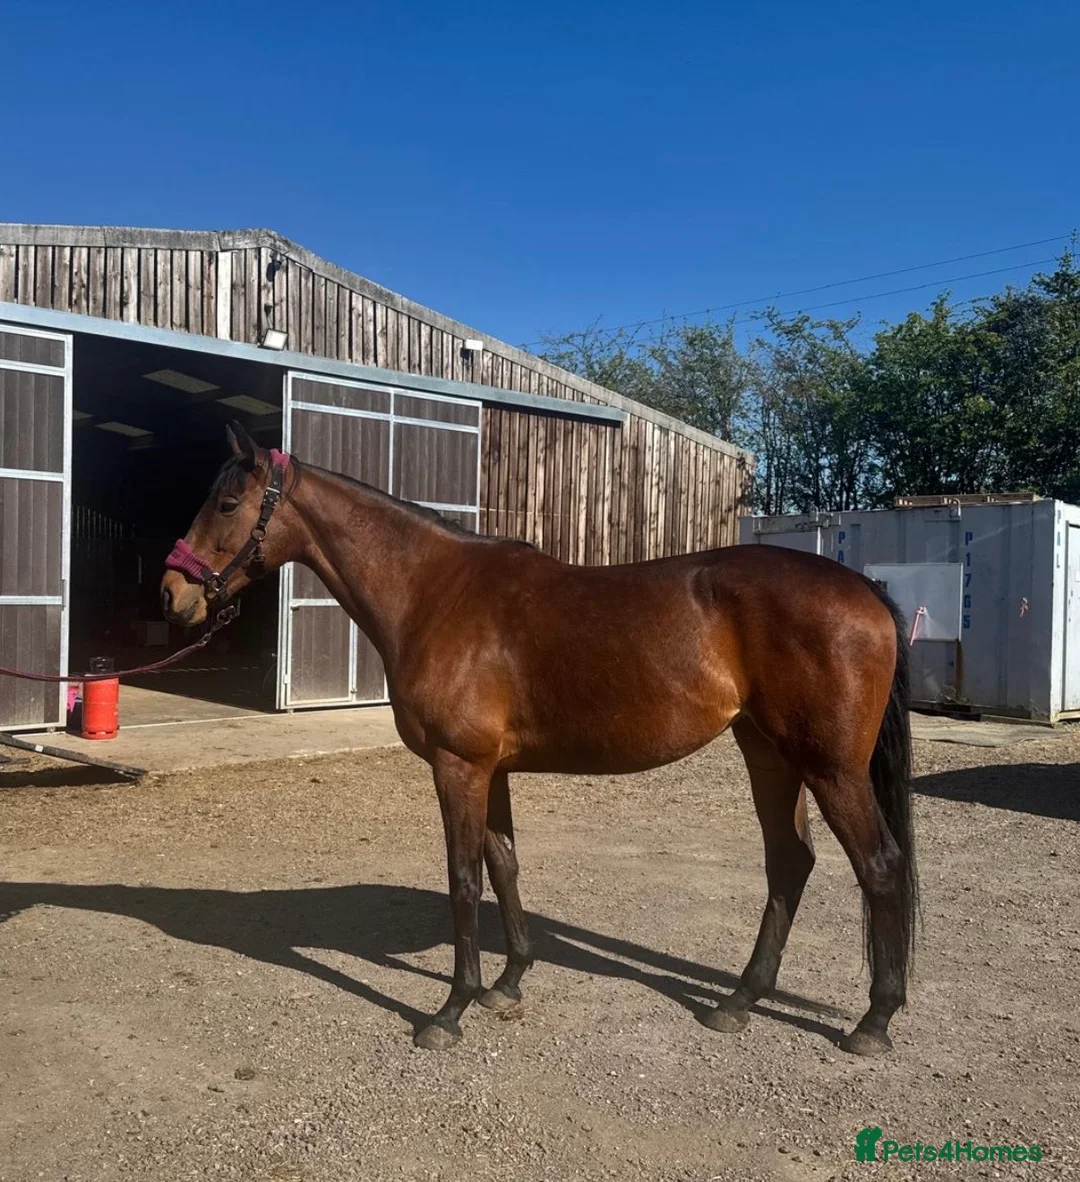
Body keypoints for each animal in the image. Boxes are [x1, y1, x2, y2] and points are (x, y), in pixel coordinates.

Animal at [161, 423, 918, 1056]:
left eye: (227, 502)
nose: (173, 594)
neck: (434, 593)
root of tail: (865, 590)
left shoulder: (458, 766)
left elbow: (464, 879)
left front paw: (450, 1010)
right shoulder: (491, 769)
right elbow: (504, 865)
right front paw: (507, 983)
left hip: (829, 767)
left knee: (880, 866)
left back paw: (873, 1021)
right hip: (769, 754)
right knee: (790, 862)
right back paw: (739, 1001)